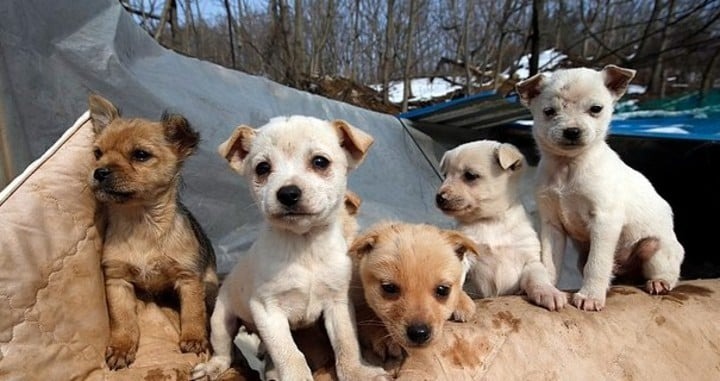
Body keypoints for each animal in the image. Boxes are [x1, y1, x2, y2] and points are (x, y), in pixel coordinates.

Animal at [88, 93, 217, 370]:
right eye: (97, 153)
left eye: (140, 155)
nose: (99, 171)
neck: (140, 224)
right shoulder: (117, 281)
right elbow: (123, 318)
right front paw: (122, 347)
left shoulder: (189, 279)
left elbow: (193, 312)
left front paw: (193, 339)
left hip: (210, 284)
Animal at [348, 220, 478, 360]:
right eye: (389, 288)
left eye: (443, 290)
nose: (419, 333)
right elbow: (367, 314)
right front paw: (384, 338)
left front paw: (462, 301)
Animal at [516, 63, 688, 310]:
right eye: (549, 112)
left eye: (596, 109)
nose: (572, 131)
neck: (568, 167)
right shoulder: (552, 226)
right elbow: (549, 262)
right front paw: (546, 289)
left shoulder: (605, 221)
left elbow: (597, 264)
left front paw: (590, 296)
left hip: (657, 249)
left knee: (668, 273)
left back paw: (659, 282)